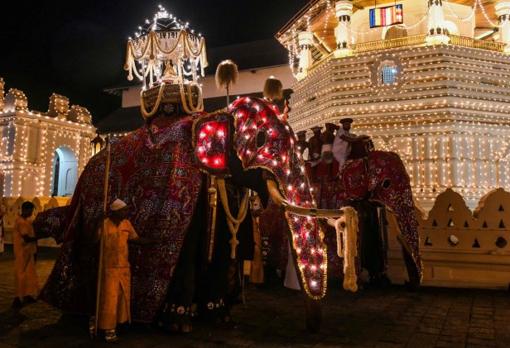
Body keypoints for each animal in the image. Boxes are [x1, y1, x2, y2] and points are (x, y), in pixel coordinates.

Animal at [32, 96, 350, 334]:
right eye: (262, 141)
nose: (311, 328)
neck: (213, 116)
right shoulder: (183, 184)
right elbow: (186, 247)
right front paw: (179, 324)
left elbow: (223, 246)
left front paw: (221, 316)